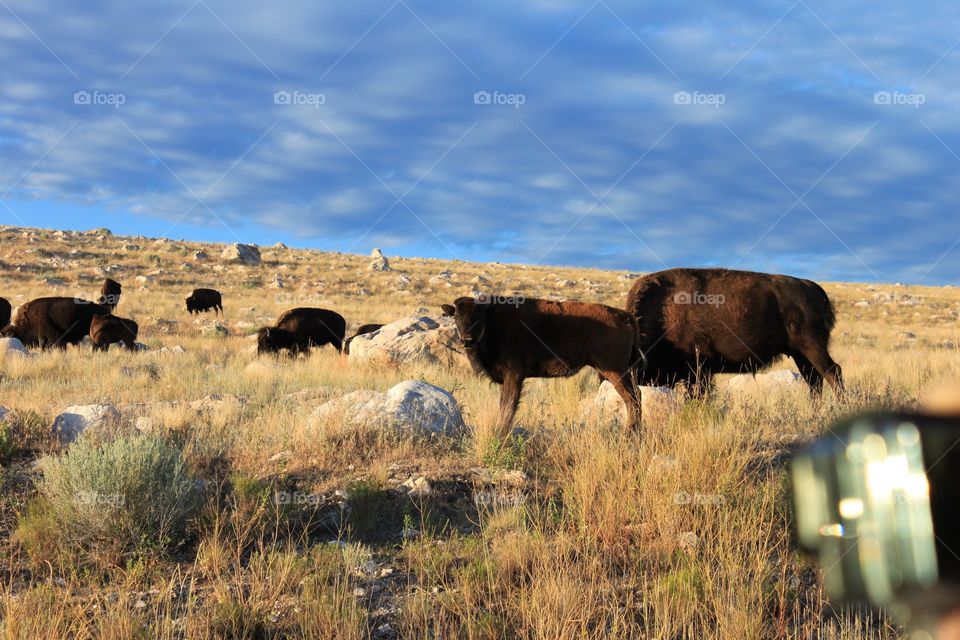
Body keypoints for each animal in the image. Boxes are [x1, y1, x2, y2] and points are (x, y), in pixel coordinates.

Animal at [442, 297, 643, 436]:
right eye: (456, 317)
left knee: (632, 397)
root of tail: (623, 315)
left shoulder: (514, 376)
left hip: (614, 370)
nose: (467, 340)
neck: (493, 322)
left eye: (479, 317)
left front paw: (502, 433)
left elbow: (508, 406)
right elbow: (503, 404)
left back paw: (631, 433)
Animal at [625, 268, 842, 395]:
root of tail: (814, 289)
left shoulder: (699, 371)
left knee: (832, 372)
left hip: (813, 347)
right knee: (814, 380)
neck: (663, 310)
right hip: (800, 354)